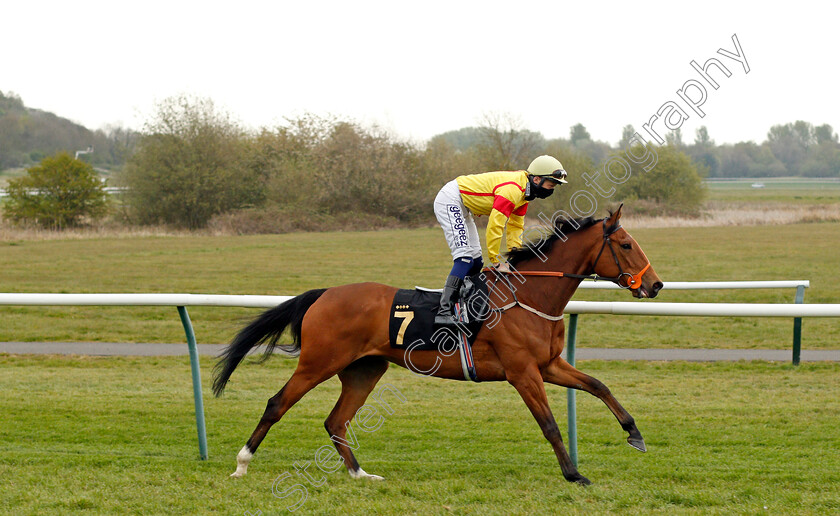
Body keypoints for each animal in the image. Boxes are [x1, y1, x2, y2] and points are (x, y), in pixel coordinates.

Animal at [213, 205, 660, 484]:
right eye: (625, 245)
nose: (655, 285)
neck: (528, 295)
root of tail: (323, 294)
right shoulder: (522, 373)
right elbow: (548, 423)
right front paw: (574, 474)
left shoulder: (548, 365)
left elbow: (599, 385)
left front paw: (634, 434)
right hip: (318, 363)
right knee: (277, 403)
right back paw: (241, 464)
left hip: (364, 369)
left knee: (336, 421)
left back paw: (361, 474)